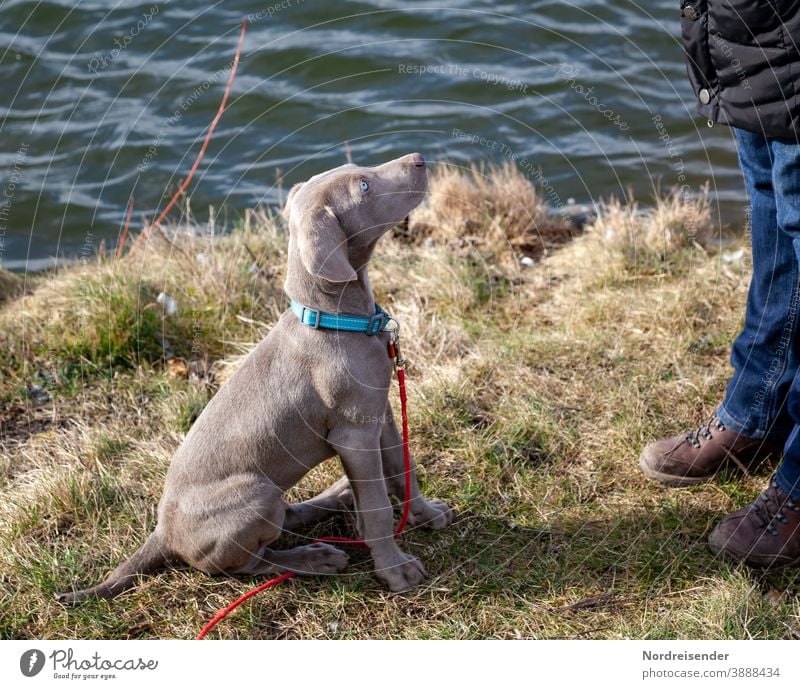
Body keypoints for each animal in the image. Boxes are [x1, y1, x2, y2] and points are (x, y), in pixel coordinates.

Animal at [54, 152, 456, 600]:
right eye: (364, 186)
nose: (419, 159)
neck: (336, 319)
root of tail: (163, 533)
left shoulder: (379, 413)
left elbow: (404, 469)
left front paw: (425, 514)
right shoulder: (354, 433)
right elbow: (377, 509)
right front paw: (395, 570)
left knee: (287, 515)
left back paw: (333, 499)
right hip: (255, 495)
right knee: (245, 564)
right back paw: (313, 558)